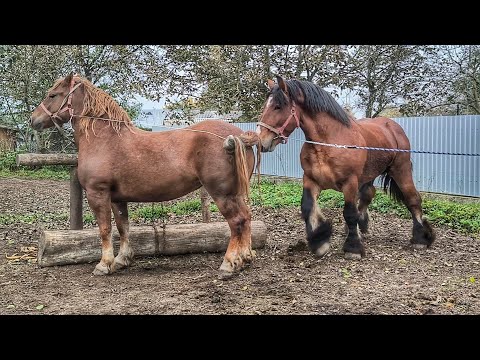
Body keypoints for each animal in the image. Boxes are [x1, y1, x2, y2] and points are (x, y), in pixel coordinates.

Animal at [28, 72, 256, 276]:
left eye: (53, 95)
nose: (32, 120)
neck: (104, 139)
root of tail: (239, 136)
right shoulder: (117, 198)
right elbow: (123, 228)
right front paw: (122, 260)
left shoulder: (97, 193)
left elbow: (105, 229)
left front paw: (104, 264)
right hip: (235, 194)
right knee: (246, 217)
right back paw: (244, 258)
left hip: (222, 194)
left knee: (236, 222)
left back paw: (228, 264)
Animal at [258, 75, 436, 258]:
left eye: (278, 106)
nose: (261, 140)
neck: (329, 142)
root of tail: (394, 127)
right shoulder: (310, 180)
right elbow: (307, 207)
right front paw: (319, 241)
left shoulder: (349, 182)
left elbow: (349, 213)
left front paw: (353, 248)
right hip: (369, 175)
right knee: (368, 194)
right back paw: (361, 228)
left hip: (400, 170)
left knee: (412, 199)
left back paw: (421, 238)